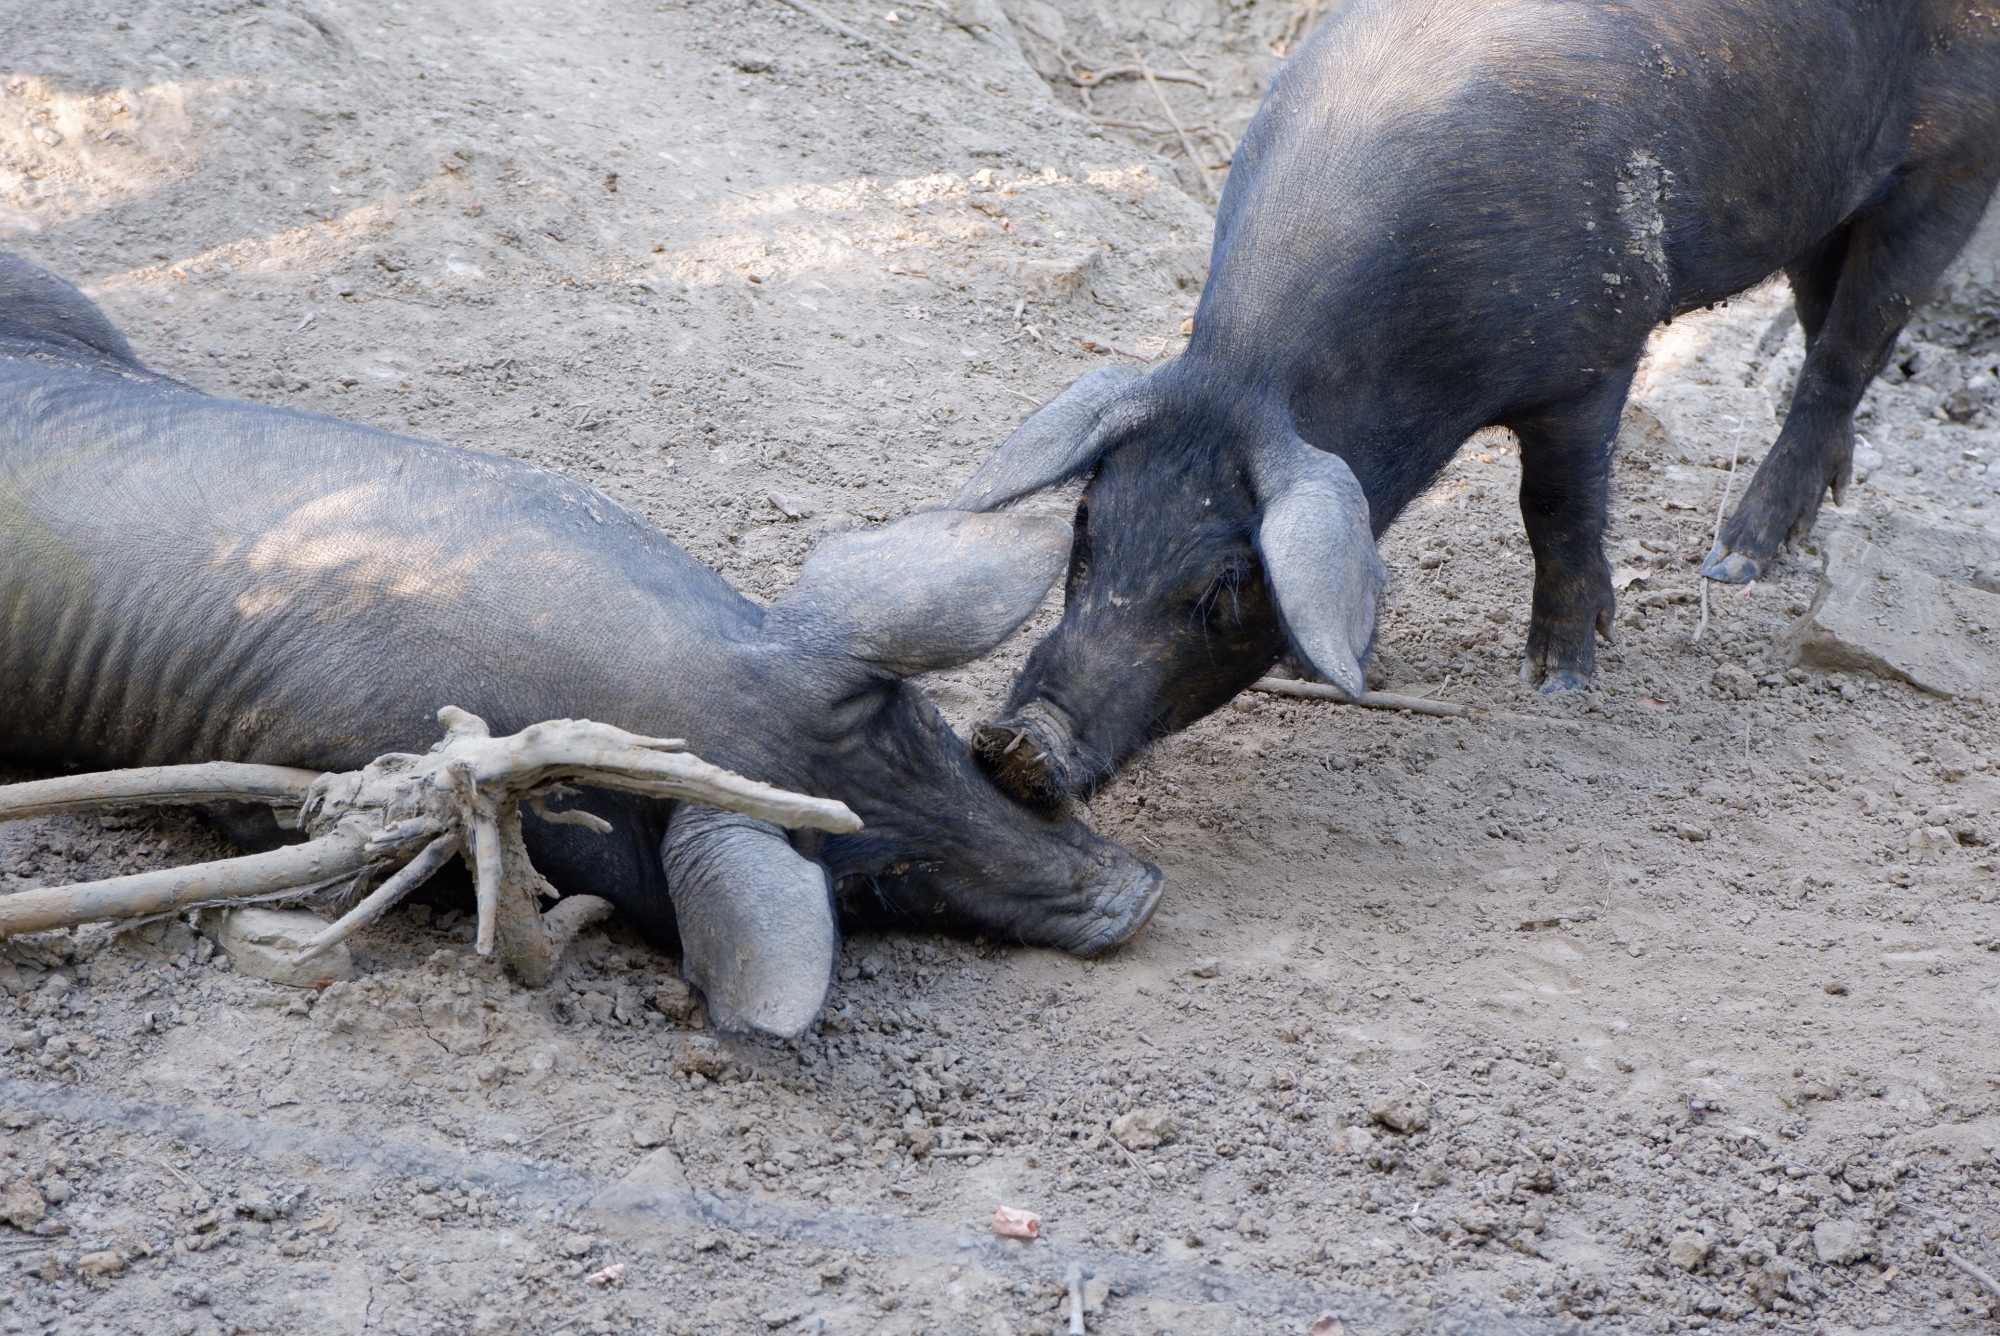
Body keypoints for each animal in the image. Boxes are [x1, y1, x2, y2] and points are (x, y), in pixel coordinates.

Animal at [948, 0, 2000, 810]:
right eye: (1087, 527)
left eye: (1226, 584)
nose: (1018, 743)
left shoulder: (1594, 356)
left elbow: (1557, 510)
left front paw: (1558, 681)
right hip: (1823, 194)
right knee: (1833, 332)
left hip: (1953, 155)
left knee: (1848, 348)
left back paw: (1736, 560)